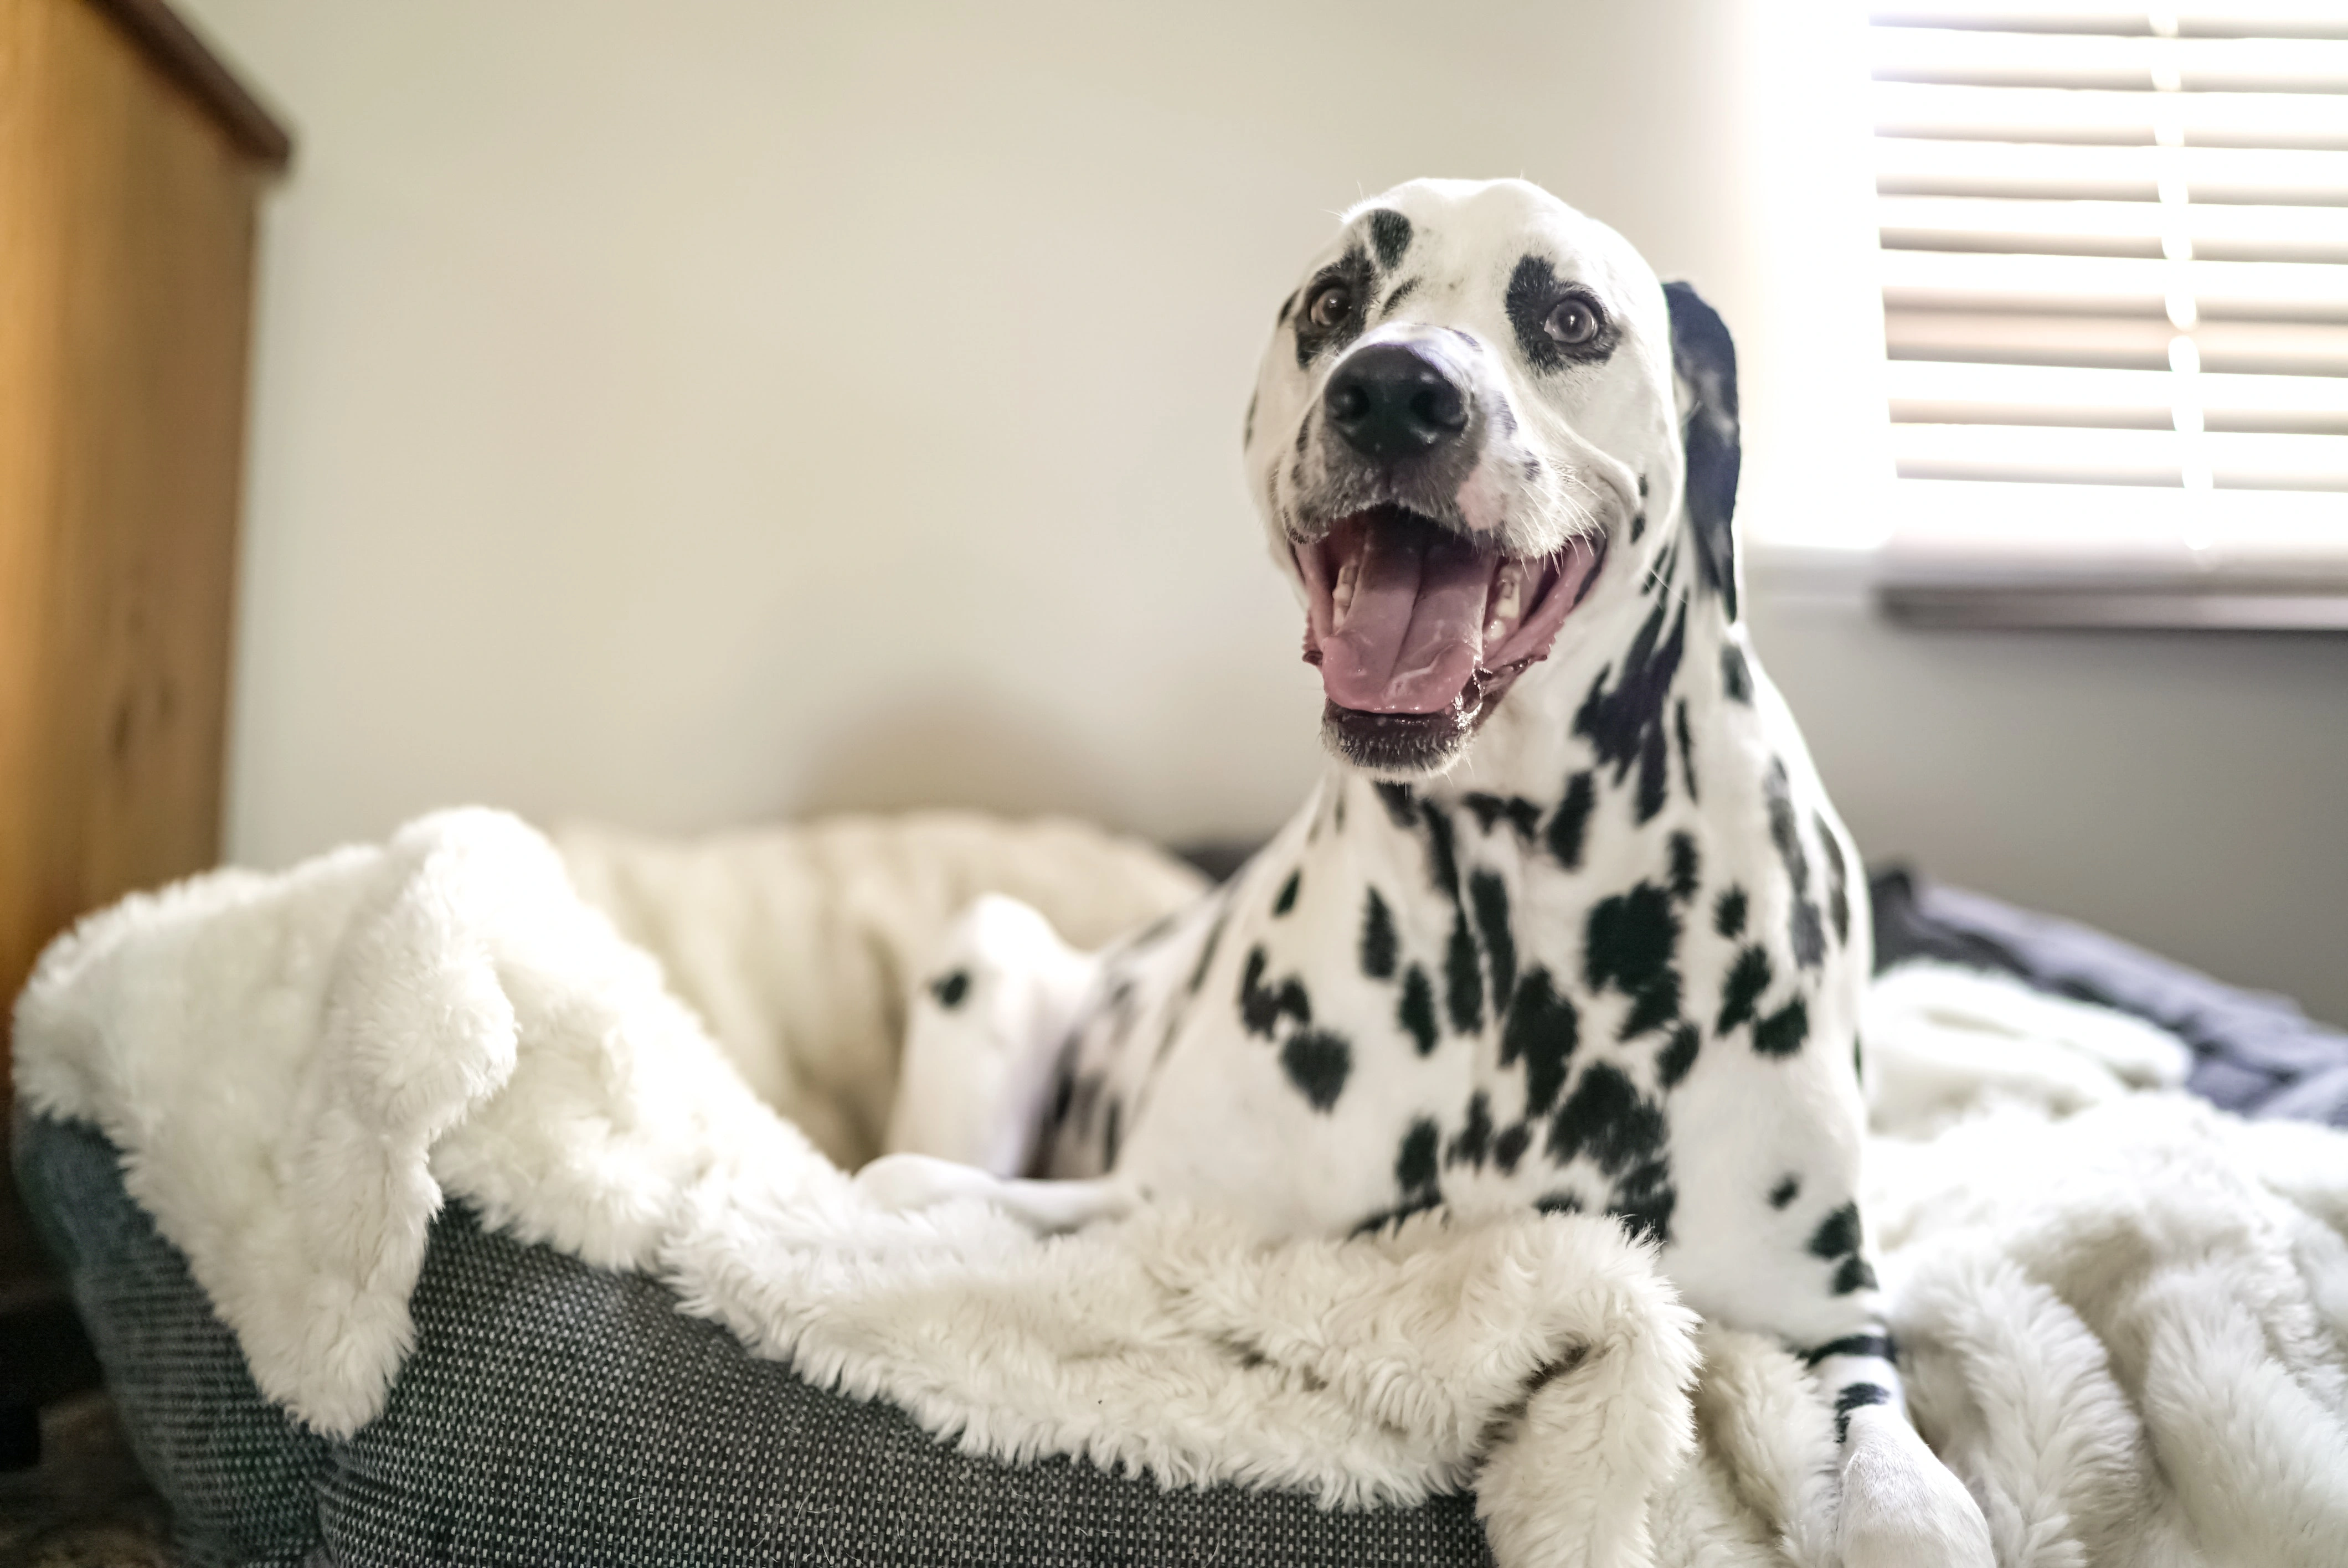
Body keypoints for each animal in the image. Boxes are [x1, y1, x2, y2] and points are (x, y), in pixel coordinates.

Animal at [873, 177, 1991, 1559]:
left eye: (1569, 317)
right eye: (1332, 302)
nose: (1395, 391)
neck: (1510, 914)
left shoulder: (1822, 1327)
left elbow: (1908, 1498)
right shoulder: (1157, 1214)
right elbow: (920, 1194)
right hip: (990, 951)